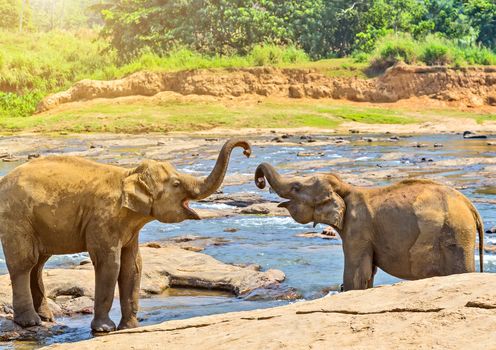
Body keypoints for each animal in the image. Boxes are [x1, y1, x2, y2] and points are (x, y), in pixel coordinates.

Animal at [0, 139, 252, 330]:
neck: (128, 174)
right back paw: (30, 323)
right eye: (176, 183)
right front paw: (105, 329)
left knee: (38, 264)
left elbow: (133, 265)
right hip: (16, 218)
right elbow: (110, 263)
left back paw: (46, 318)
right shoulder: (103, 219)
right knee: (25, 262)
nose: (247, 150)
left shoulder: (129, 229)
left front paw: (130, 327)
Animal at [256, 163, 484, 292]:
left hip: (457, 235)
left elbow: (356, 275)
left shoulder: (358, 229)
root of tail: (471, 207)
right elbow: (368, 274)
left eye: (296, 188)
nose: (260, 182)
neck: (346, 188)